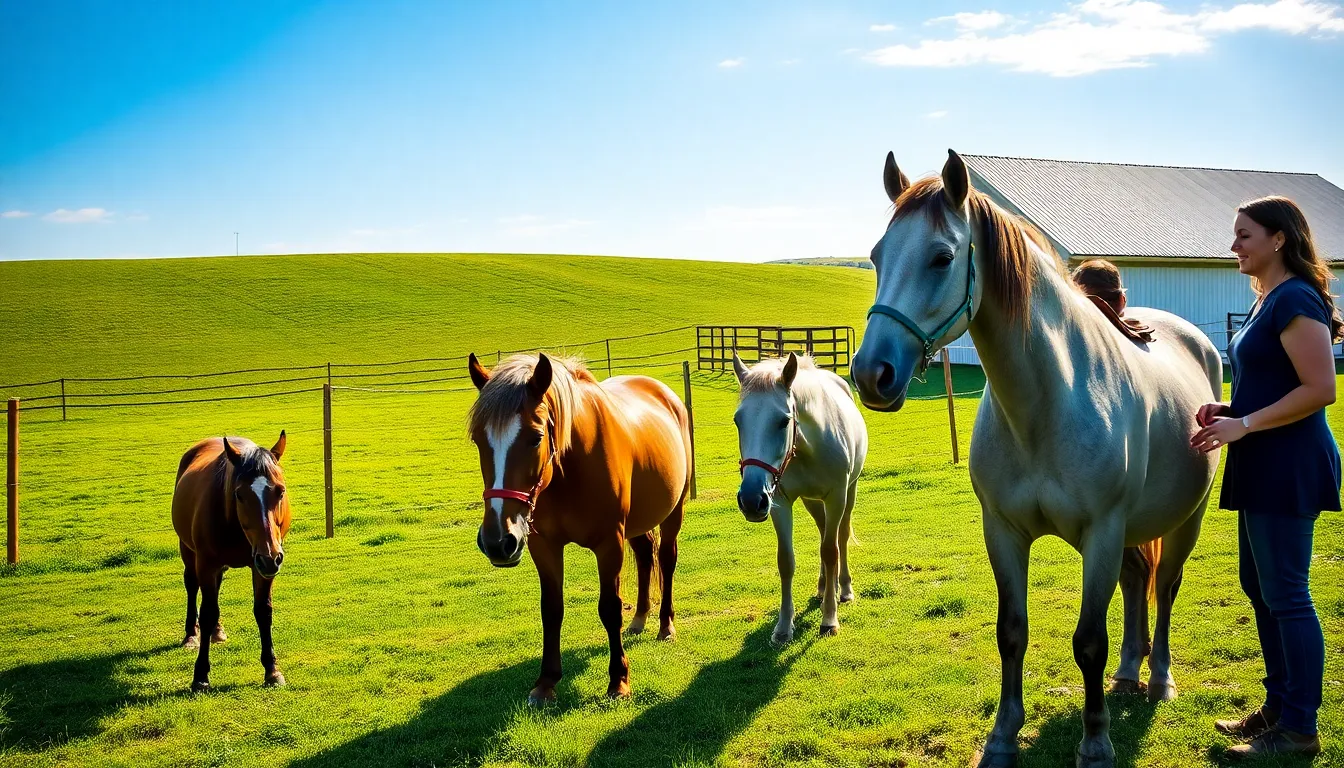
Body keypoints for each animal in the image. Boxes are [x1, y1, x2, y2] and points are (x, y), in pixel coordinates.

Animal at [172, 431, 291, 692]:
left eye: (280, 491)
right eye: (239, 494)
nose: (272, 556)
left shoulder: (262, 566)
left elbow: (263, 611)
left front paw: (272, 670)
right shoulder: (206, 563)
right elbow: (207, 612)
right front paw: (200, 675)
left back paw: (217, 631)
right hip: (188, 551)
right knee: (191, 586)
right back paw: (191, 635)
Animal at [467, 351, 692, 704]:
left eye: (536, 437)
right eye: (478, 439)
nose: (497, 541)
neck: (570, 469)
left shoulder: (609, 544)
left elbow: (610, 608)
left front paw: (618, 681)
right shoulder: (543, 546)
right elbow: (551, 610)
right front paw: (546, 682)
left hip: (673, 513)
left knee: (666, 561)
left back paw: (665, 626)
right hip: (636, 525)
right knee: (645, 558)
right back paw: (639, 619)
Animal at [732, 351, 868, 643]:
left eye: (783, 421)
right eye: (738, 420)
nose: (750, 499)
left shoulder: (836, 497)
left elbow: (831, 551)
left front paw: (829, 619)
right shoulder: (779, 502)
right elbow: (786, 560)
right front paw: (784, 627)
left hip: (848, 494)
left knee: (839, 537)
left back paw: (843, 589)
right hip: (812, 502)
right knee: (823, 532)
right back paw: (823, 587)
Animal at [850, 150, 1221, 768]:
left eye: (942, 256)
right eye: (877, 256)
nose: (871, 373)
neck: (1048, 401)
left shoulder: (1101, 532)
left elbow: (1088, 641)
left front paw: (1095, 743)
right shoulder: (1003, 531)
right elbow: (1012, 633)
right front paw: (1002, 737)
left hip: (1183, 521)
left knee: (1165, 586)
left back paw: (1160, 678)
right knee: (1136, 582)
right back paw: (1129, 671)